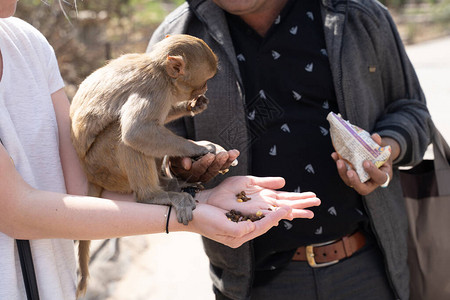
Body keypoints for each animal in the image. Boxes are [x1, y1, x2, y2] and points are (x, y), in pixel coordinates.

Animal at [68, 34, 218, 296]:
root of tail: (91, 176)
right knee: (125, 137)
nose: (206, 89)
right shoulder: (154, 89)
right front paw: (197, 148)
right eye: (204, 81)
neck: (160, 70)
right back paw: (153, 195)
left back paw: (170, 183)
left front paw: (192, 107)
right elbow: (136, 131)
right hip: (105, 168)